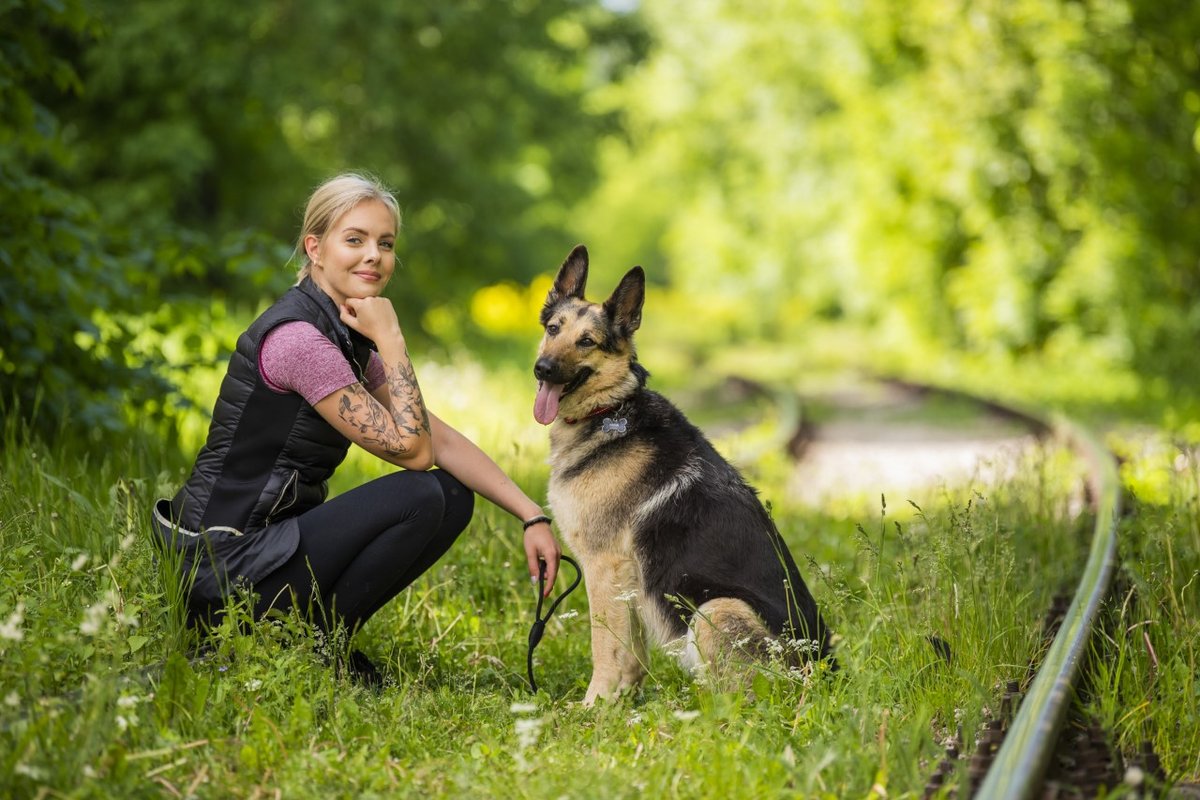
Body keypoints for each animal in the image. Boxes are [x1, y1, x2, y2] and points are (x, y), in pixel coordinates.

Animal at [535, 245, 835, 705]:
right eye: (554, 329)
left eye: (586, 341)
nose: (543, 369)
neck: (611, 409)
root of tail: (825, 676)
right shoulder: (627, 580)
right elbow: (630, 652)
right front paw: (622, 702)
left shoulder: (605, 568)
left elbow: (605, 647)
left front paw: (593, 705)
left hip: (715, 609)